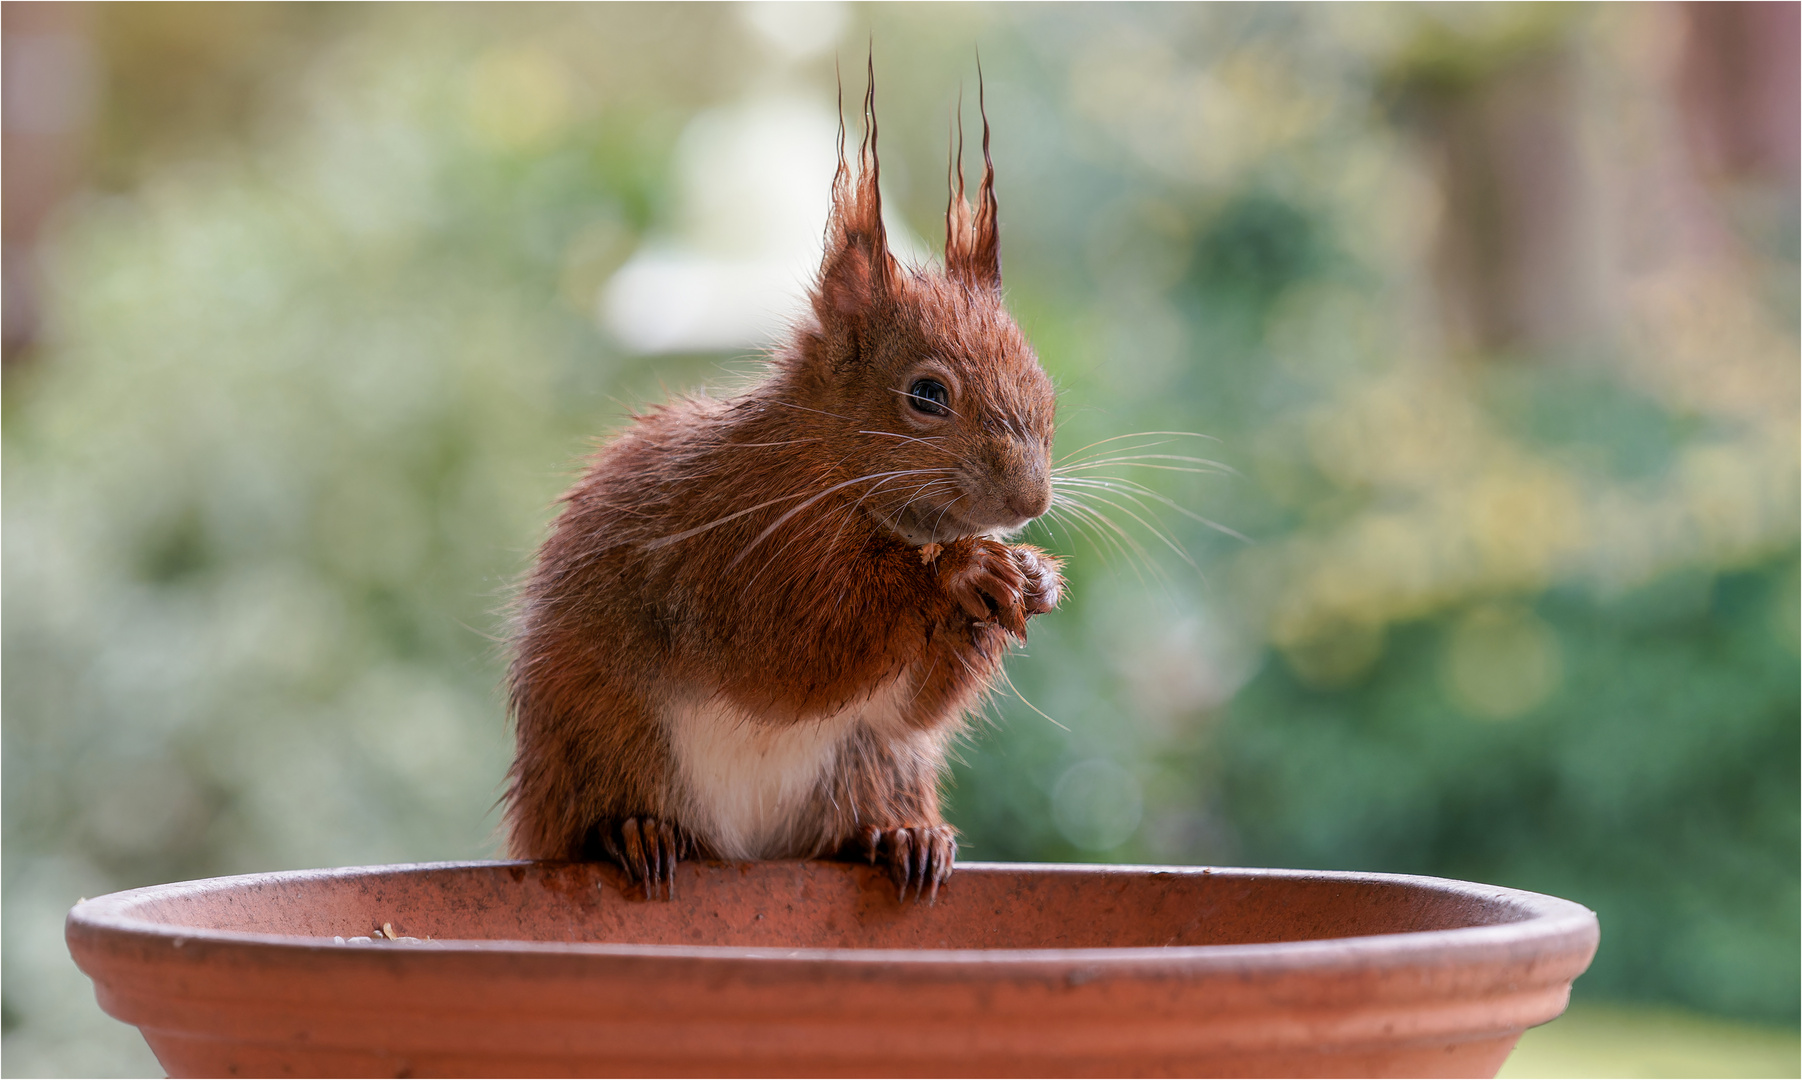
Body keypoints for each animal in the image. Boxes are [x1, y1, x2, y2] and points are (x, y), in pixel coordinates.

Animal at [500, 69, 1059, 905]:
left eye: (1043, 385)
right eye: (927, 396)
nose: (1032, 502)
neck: (823, 468)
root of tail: (745, 851)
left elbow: (911, 709)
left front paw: (1031, 578)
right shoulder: (732, 547)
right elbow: (798, 653)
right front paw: (963, 572)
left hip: (869, 766)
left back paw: (902, 837)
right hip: (600, 747)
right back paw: (635, 833)